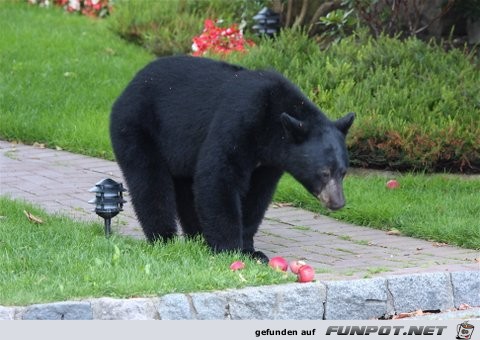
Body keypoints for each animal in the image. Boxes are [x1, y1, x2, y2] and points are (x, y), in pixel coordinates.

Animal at [110, 55, 354, 262]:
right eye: (324, 172)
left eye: (343, 172)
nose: (338, 202)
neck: (271, 126)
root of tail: (128, 85)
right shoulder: (239, 121)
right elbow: (218, 177)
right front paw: (230, 249)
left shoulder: (269, 161)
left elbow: (257, 195)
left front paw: (251, 251)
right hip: (138, 127)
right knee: (150, 182)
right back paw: (164, 237)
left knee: (187, 188)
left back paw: (198, 237)